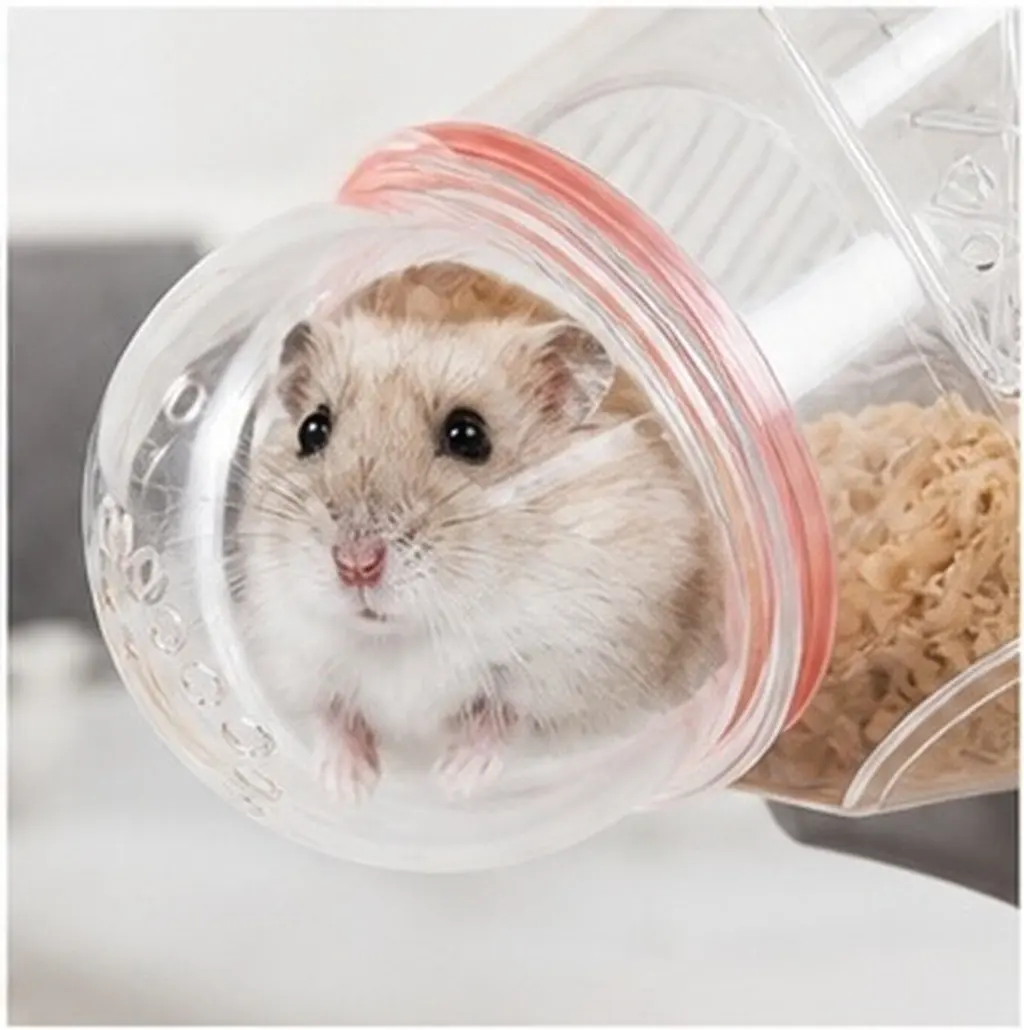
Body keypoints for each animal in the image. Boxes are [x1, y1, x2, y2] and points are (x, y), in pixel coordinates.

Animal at [237, 263, 720, 801]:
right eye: (312, 430)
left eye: (469, 436)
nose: (355, 565)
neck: (405, 635)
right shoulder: (293, 651)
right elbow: (333, 713)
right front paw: (347, 788)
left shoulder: (570, 664)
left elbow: (502, 715)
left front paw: (454, 780)